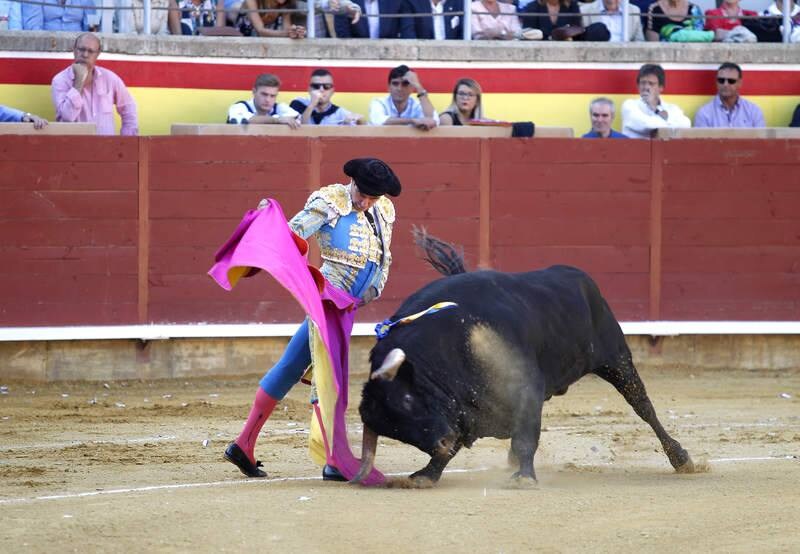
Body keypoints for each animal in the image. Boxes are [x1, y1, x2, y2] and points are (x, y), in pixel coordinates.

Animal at [352, 231, 692, 486]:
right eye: (395, 430)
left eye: (408, 400)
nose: (441, 442)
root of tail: (580, 277)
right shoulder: (464, 408)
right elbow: (464, 440)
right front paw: (426, 474)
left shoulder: (525, 385)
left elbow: (526, 435)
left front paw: (524, 477)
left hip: (617, 359)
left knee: (643, 406)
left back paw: (682, 459)